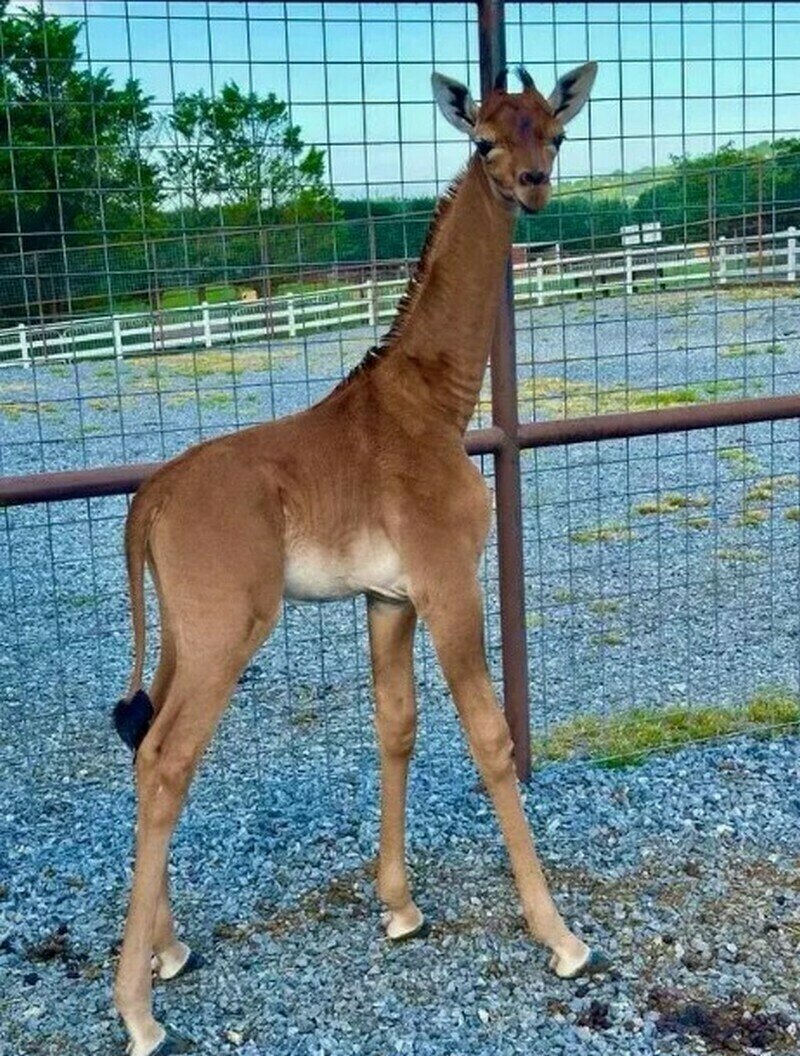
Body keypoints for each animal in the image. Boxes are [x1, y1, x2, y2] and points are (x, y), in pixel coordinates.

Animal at [112, 63, 599, 1056]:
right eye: (484, 141)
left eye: (557, 133)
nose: (533, 186)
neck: (436, 404)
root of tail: (150, 499)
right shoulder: (449, 582)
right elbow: (490, 737)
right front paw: (561, 937)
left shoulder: (388, 598)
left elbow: (397, 726)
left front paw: (401, 907)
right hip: (228, 630)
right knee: (167, 761)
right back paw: (138, 1011)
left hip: (182, 633)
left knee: (143, 745)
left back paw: (168, 950)